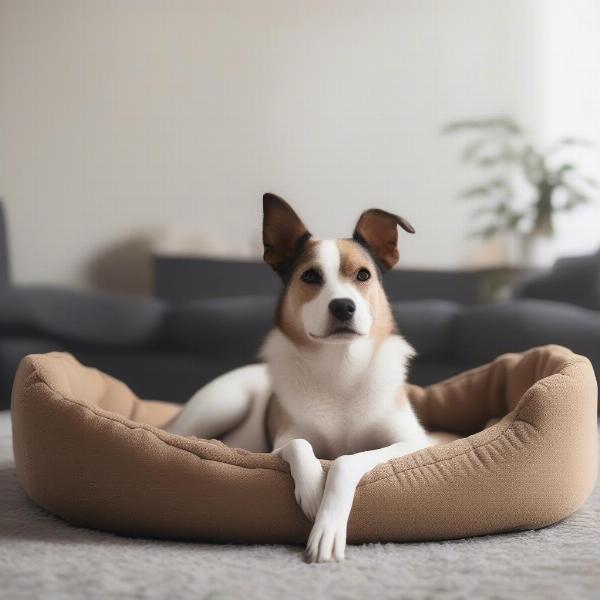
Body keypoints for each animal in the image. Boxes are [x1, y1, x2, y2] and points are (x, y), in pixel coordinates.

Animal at [166, 196, 458, 564]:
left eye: (363, 275)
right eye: (310, 276)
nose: (343, 306)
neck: (340, 367)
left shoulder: (415, 442)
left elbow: (346, 461)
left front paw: (327, 528)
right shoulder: (280, 442)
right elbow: (299, 445)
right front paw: (313, 492)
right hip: (224, 402)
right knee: (178, 434)